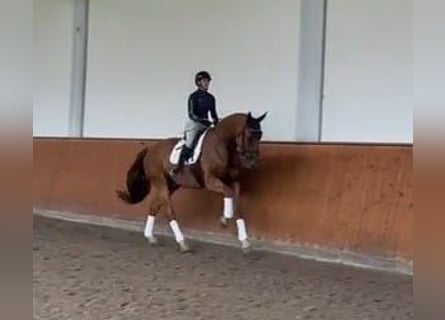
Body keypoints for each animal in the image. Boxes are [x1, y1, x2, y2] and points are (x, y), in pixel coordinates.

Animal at [116, 112, 266, 252]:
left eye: (260, 136)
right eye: (249, 136)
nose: (252, 163)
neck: (222, 144)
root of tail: (150, 150)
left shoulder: (234, 181)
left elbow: (237, 207)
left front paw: (244, 242)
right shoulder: (210, 181)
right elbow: (228, 193)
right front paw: (225, 219)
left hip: (171, 185)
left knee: (154, 207)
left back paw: (150, 237)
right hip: (160, 182)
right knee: (169, 212)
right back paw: (182, 243)